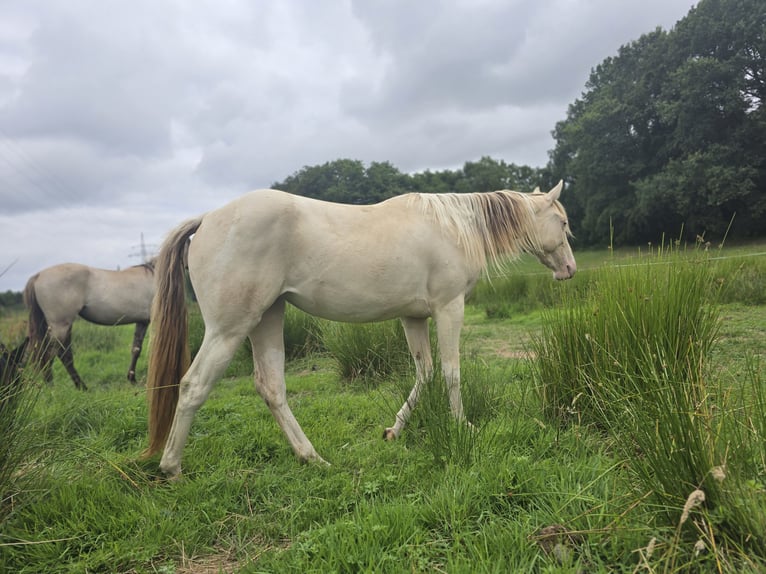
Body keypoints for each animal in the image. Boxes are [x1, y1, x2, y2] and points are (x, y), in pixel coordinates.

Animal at [23, 261, 156, 390]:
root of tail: (38, 275)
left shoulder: (142, 322)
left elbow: (136, 349)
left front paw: (132, 379)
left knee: (63, 354)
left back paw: (80, 386)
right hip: (60, 326)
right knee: (51, 354)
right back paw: (53, 387)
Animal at [144, 181, 576, 478]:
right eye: (563, 221)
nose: (569, 269)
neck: (453, 226)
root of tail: (208, 218)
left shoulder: (413, 318)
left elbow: (425, 373)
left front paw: (394, 431)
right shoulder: (449, 308)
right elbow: (451, 372)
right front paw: (463, 427)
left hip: (267, 319)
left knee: (272, 387)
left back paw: (312, 457)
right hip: (229, 329)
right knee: (193, 386)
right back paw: (171, 467)